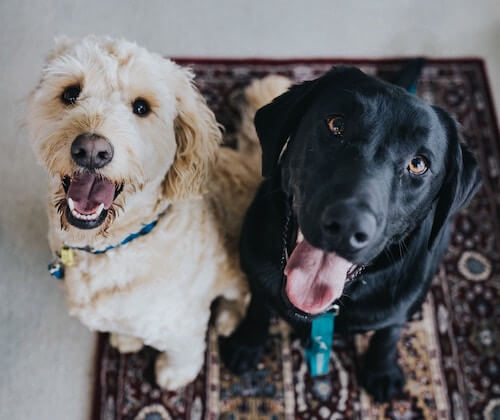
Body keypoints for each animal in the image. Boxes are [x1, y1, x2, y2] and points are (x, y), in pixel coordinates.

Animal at [27, 37, 290, 390]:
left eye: (141, 107)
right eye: (70, 93)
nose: (92, 150)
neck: (116, 244)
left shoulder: (182, 322)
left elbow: (184, 353)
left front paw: (173, 375)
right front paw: (127, 339)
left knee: (242, 296)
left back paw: (227, 318)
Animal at [222, 63, 480, 400]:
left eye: (418, 164)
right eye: (337, 124)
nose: (347, 226)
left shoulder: (399, 305)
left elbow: (388, 333)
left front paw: (381, 370)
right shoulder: (255, 267)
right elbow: (258, 304)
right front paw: (247, 342)